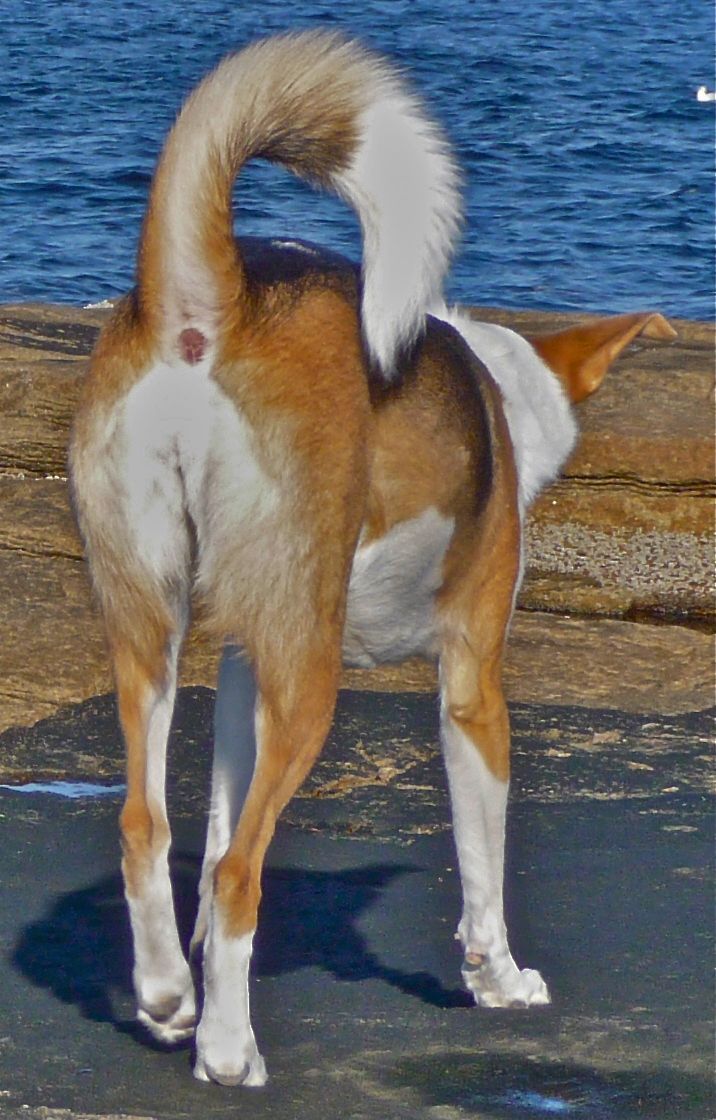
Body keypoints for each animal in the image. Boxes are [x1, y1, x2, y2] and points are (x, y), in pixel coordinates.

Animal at [69, 30, 675, 1086]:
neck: (493, 392)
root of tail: (212, 297)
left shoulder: (244, 666)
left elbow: (216, 828)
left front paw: (199, 967)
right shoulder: (472, 678)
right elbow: (482, 863)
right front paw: (497, 980)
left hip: (152, 629)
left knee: (151, 829)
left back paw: (171, 998)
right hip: (311, 677)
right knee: (240, 872)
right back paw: (229, 1052)